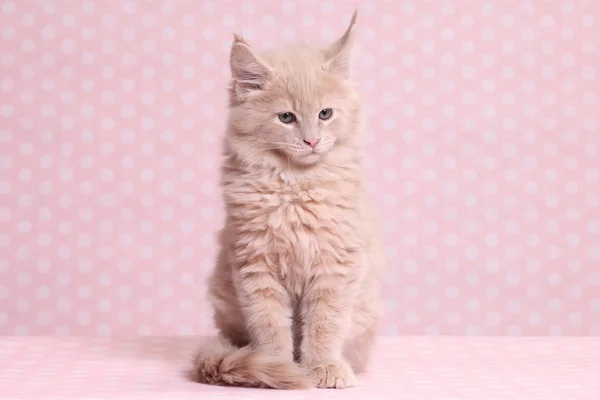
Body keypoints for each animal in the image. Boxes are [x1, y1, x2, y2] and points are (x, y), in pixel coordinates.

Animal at [195, 10, 386, 390]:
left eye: (325, 114)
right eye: (286, 117)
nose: (312, 141)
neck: (296, 186)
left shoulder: (336, 265)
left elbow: (325, 324)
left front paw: (323, 367)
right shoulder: (254, 265)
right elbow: (268, 326)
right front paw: (277, 368)